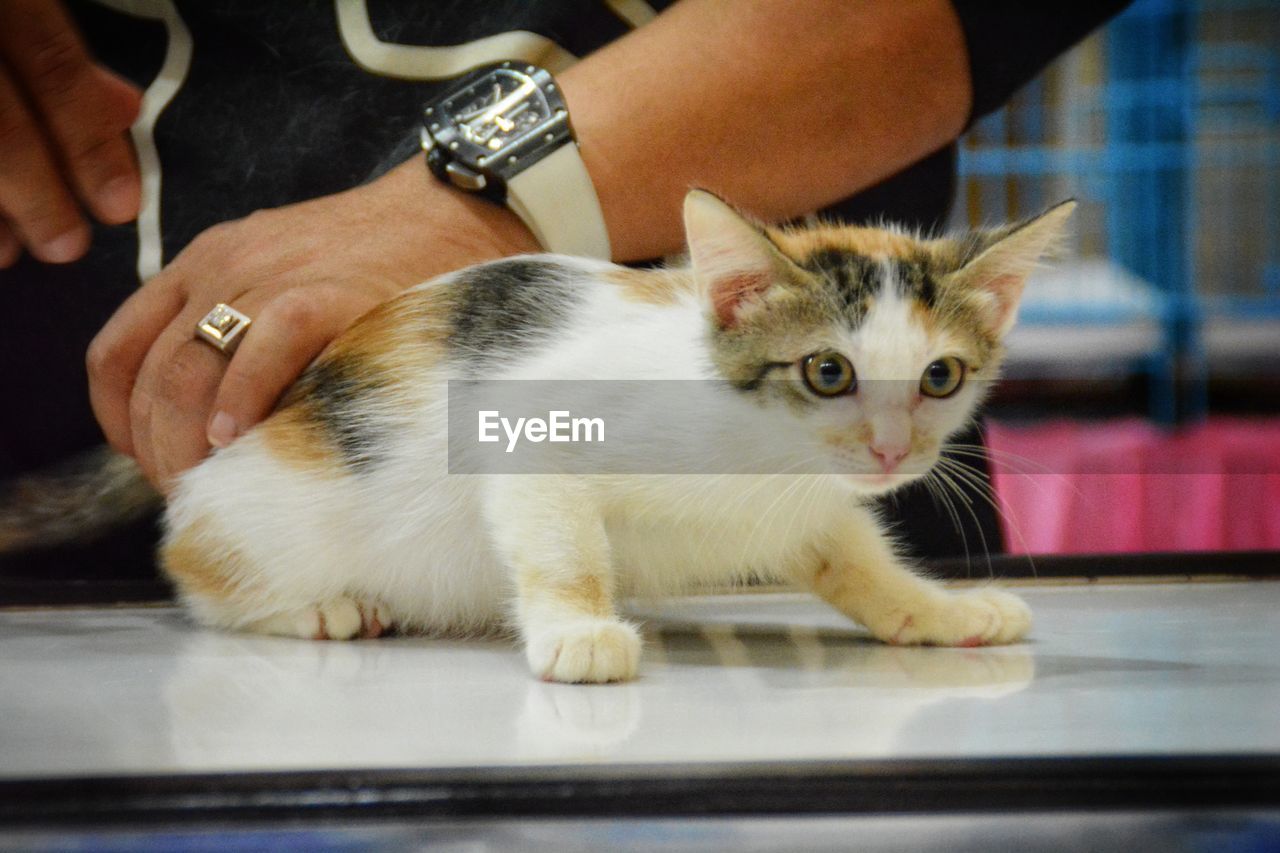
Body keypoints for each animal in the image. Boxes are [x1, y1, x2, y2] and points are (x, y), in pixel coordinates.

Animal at [5, 189, 1075, 681]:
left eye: (940, 377)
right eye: (827, 372)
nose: (895, 451)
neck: (754, 451)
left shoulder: (810, 504)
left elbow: (852, 553)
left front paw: (935, 610)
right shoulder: (529, 431)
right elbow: (563, 543)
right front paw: (579, 629)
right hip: (251, 511)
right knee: (194, 561)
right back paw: (319, 606)